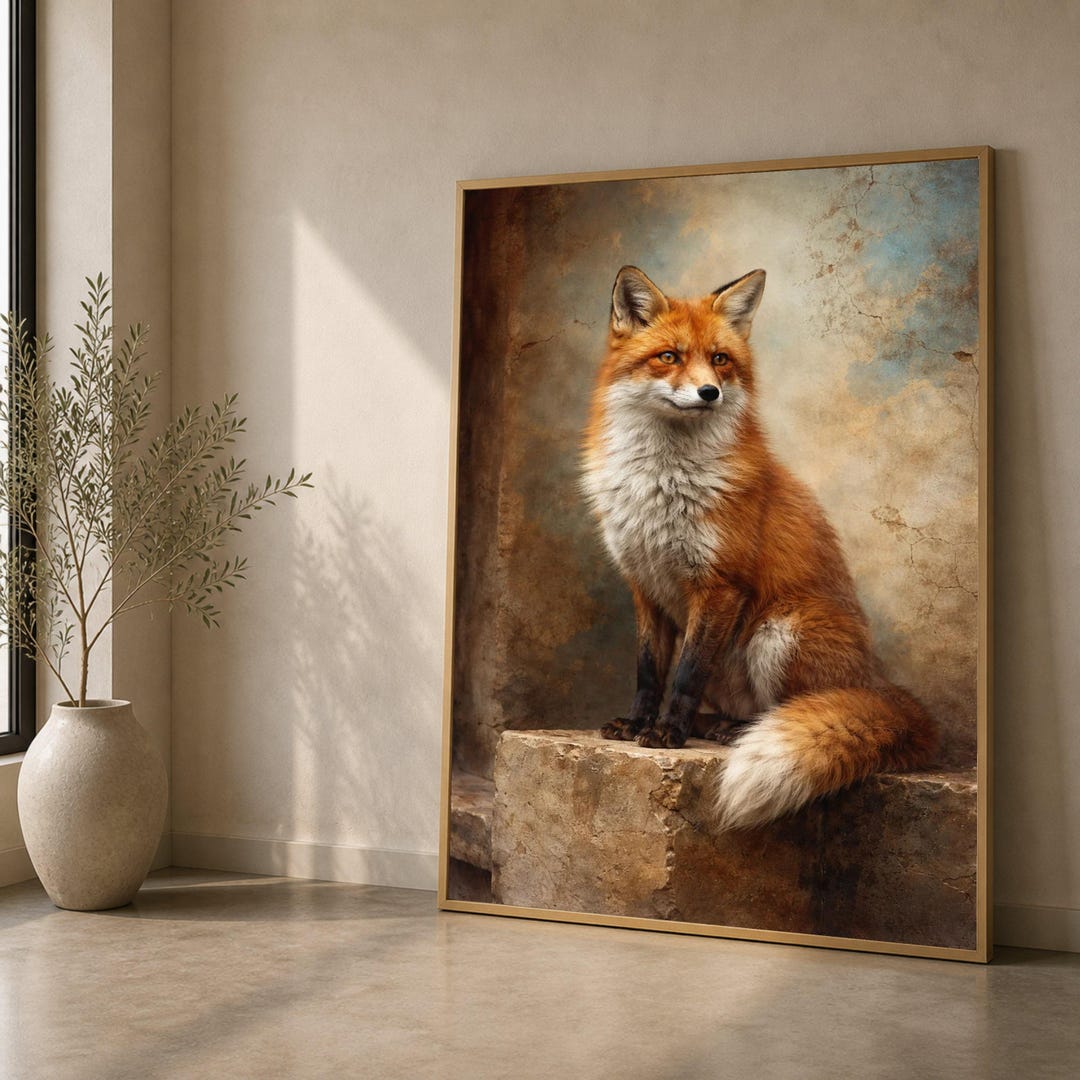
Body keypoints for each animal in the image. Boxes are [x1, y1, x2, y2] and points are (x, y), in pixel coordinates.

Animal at [580, 265, 938, 830]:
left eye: (720, 360)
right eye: (670, 356)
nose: (709, 392)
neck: (661, 482)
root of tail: (879, 685)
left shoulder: (719, 584)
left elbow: (686, 674)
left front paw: (667, 733)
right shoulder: (645, 584)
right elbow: (648, 671)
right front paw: (638, 724)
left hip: (780, 632)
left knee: (779, 709)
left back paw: (732, 731)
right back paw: (713, 725)